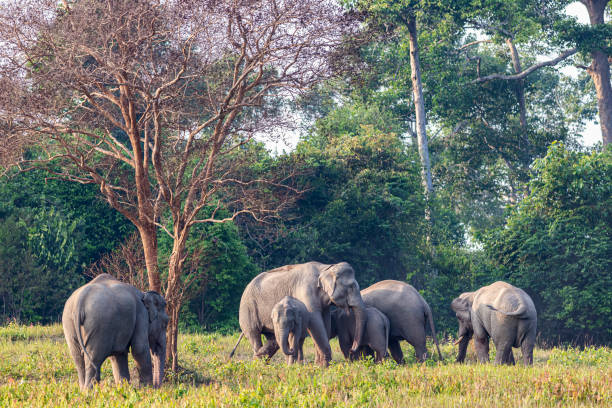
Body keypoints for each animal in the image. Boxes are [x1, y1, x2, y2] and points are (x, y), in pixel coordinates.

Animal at [234, 262, 368, 366]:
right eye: (351, 287)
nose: (352, 349)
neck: (325, 268)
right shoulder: (306, 293)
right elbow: (315, 322)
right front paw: (325, 366)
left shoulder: (323, 305)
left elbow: (325, 322)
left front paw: (319, 365)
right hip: (248, 310)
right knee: (254, 335)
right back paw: (258, 363)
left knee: (272, 339)